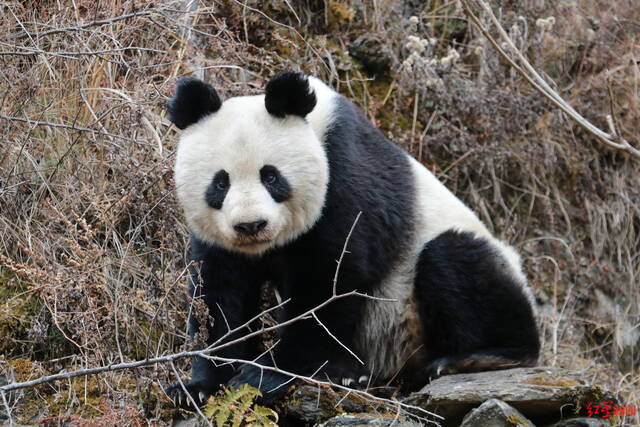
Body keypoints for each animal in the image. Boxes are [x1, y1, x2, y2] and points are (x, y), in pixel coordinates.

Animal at [166, 71, 540, 408]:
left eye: (271, 176)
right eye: (220, 183)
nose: (250, 225)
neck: (316, 127)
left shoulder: (346, 178)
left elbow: (329, 281)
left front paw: (265, 375)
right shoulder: (220, 242)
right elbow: (218, 296)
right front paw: (197, 387)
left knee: (455, 261)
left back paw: (482, 357)